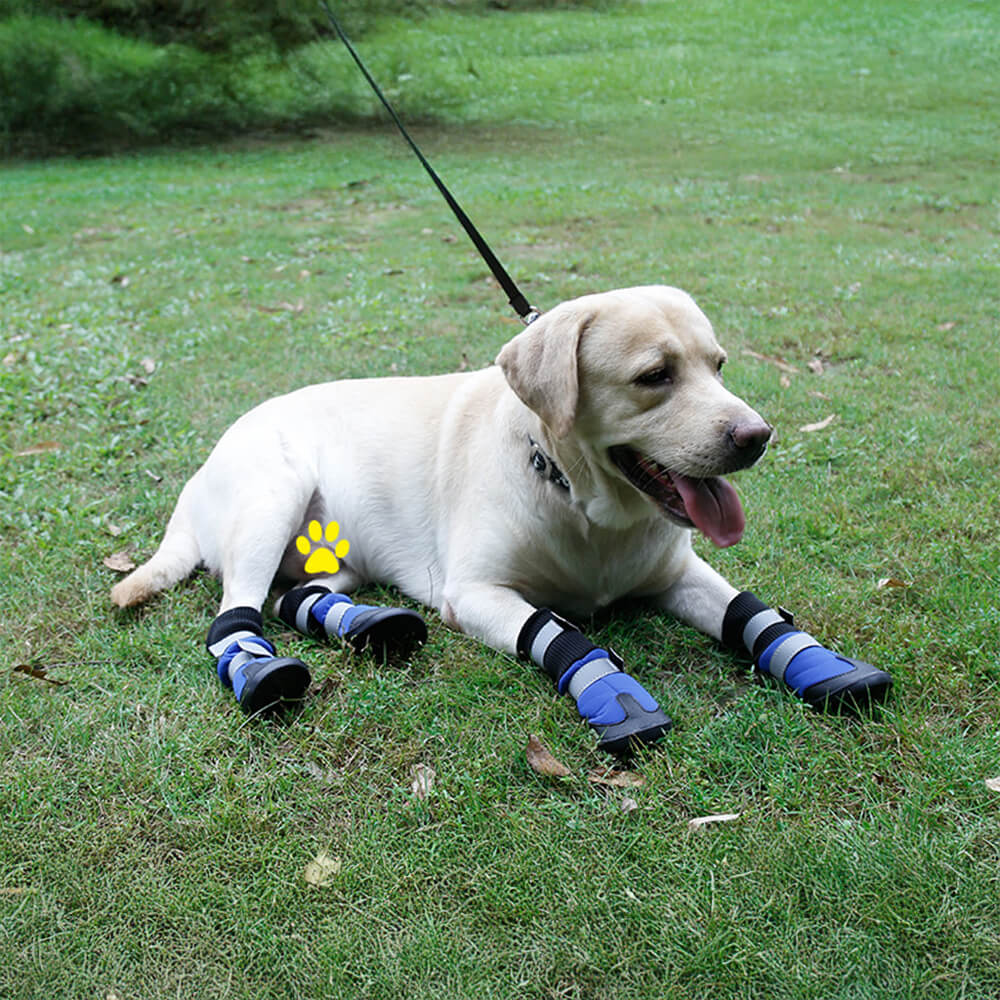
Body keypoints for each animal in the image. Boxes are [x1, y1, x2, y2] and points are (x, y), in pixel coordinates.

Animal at [111, 282, 892, 752]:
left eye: (719, 365)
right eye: (655, 376)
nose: (757, 436)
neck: (583, 506)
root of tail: (198, 474)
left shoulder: (678, 572)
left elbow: (747, 612)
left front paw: (812, 659)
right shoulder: (478, 592)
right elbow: (561, 633)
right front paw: (611, 691)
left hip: (337, 555)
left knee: (293, 594)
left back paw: (369, 624)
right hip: (273, 494)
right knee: (235, 614)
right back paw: (258, 669)